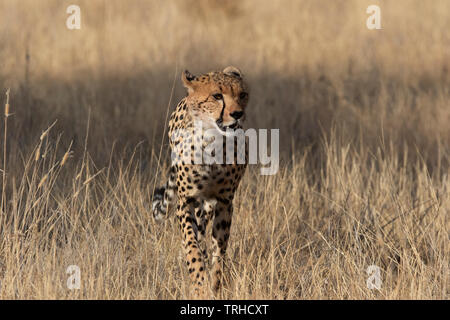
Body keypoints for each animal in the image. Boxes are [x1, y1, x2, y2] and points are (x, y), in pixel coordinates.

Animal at [152, 66, 250, 298]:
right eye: (217, 96)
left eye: (242, 95)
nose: (237, 114)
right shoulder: (186, 201)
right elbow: (192, 245)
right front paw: (199, 284)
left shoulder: (225, 202)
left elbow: (220, 249)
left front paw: (215, 283)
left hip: (208, 204)